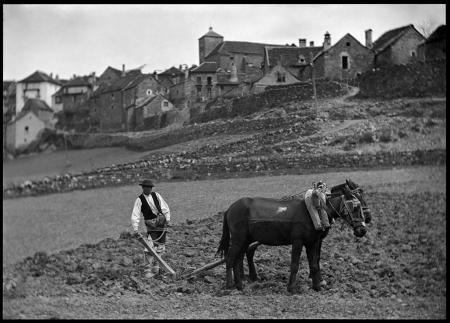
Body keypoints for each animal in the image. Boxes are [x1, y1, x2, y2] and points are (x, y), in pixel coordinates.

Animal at [216, 180, 370, 294]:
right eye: (356, 206)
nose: (363, 229)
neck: (314, 210)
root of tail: (230, 208)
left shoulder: (312, 242)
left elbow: (314, 264)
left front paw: (317, 286)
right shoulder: (298, 241)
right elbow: (295, 264)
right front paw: (291, 288)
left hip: (245, 239)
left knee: (239, 259)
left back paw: (240, 285)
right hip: (238, 238)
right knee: (230, 259)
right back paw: (230, 285)